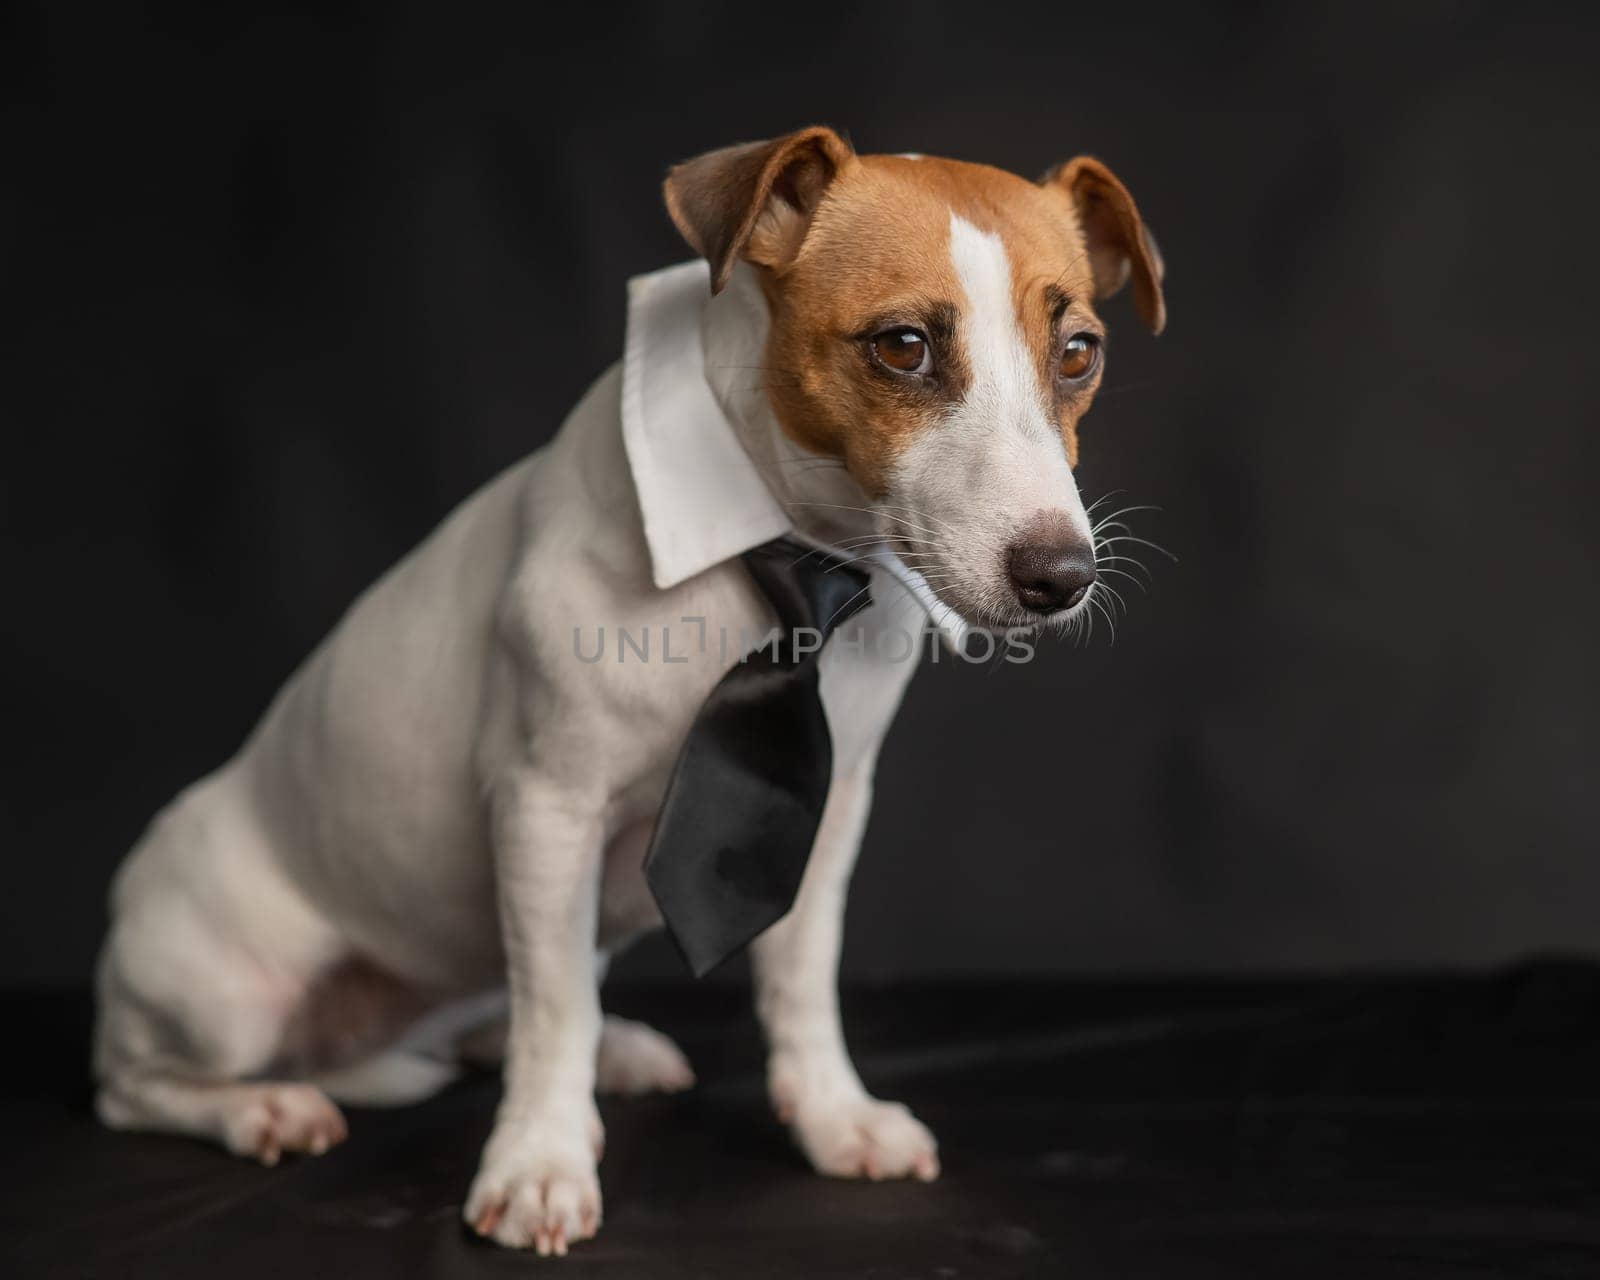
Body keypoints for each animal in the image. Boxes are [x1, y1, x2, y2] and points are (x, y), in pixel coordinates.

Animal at [93, 127, 1164, 1248]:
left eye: (1078, 353)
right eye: (903, 344)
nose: (1062, 576)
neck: (783, 547)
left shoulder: (827, 812)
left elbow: (797, 980)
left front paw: (832, 1116)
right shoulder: (545, 809)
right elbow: (555, 1004)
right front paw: (540, 1160)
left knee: (500, 1006)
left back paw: (606, 1048)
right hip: (220, 989)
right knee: (137, 1084)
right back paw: (262, 1105)